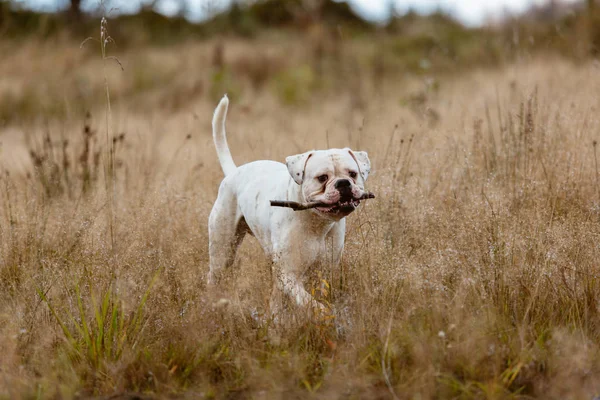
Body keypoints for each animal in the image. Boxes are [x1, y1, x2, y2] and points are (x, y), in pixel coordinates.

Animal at [209, 96, 372, 312]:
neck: (317, 223)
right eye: (322, 178)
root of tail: (234, 172)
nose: (343, 183)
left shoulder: (323, 272)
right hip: (222, 252)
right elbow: (310, 302)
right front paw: (323, 313)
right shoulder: (289, 275)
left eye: (353, 174)